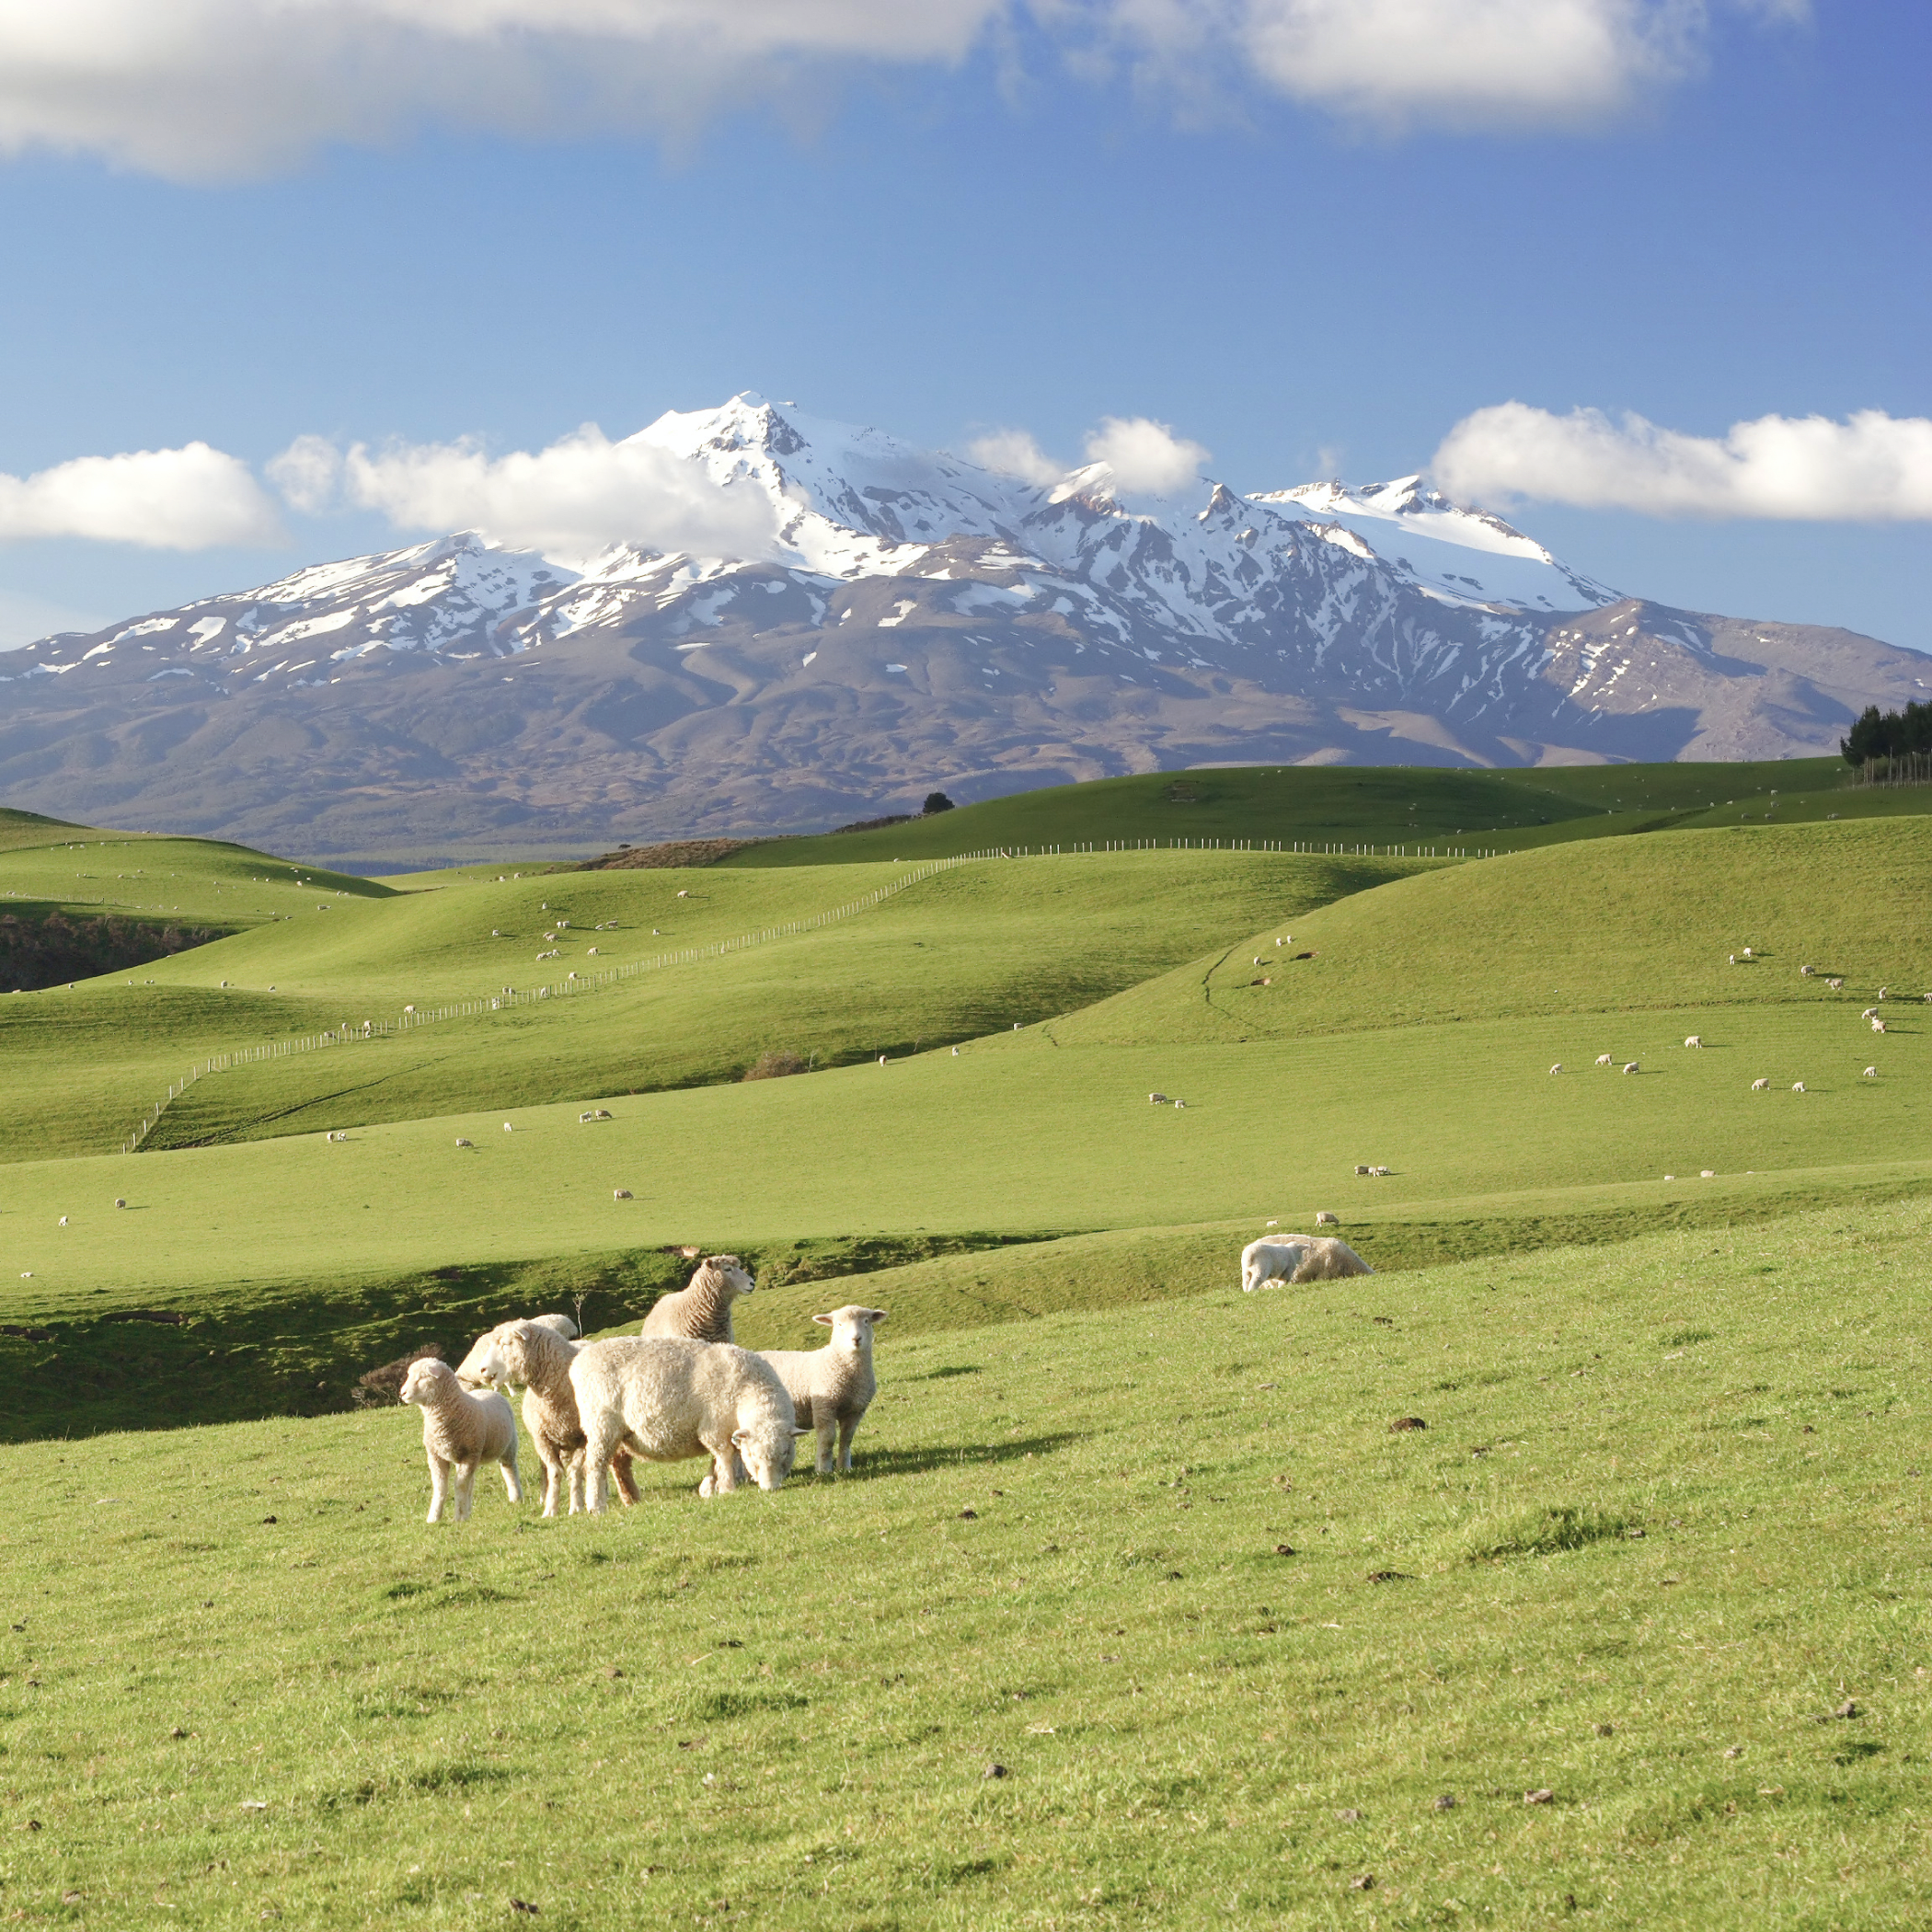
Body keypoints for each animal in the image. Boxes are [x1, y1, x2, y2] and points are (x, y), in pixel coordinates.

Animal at [397, 1360, 522, 1522]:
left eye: (423, 1376)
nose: (402, 1393)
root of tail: (492, 1392)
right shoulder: (436, 1457)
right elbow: (441, 1487)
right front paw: (434, 1517)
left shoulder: (470, 1455)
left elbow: (460, 1485)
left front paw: (459, 1517)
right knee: (472, 1481)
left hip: (508, 1446)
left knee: (509, 1469)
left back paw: (516, 1497)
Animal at [564, 1344, 799, 1506]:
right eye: (752, 1455)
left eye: (786, 1453)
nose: (770, 1488)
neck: (749, 1388)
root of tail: (578, 1362)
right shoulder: (714, 1428)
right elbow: (724, 1456)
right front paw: (727, 1488)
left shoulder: (722, 1431)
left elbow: (716, 1461)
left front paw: (709, 1487)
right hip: (601, 1424)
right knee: (595, 1465)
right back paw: (596, 1505)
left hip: (621, 1433)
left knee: (618, 1464)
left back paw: (632, 1500)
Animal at [765, 1313, 892, 1476]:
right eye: (839, 1324)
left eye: (866, 1321)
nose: (856, 1339)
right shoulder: (824, 1407)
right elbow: (827, 1439)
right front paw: (823, 1468)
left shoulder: (855, 1410)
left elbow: (847, 1438)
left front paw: (844, 1466)